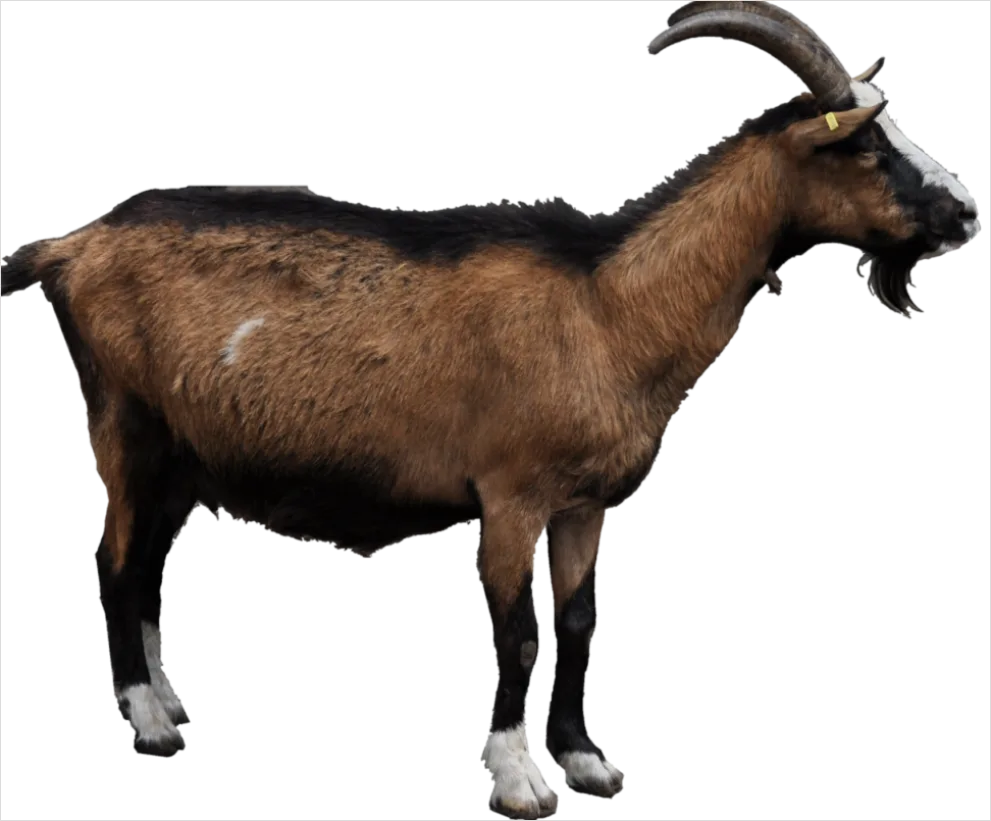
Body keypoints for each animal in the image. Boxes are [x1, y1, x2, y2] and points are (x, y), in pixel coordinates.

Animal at [0, 3, 980, 816]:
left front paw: (588, 763)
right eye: (863, 147)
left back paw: (169, 704)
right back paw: (149, 725)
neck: (606, 306)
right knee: (113, 563)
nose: (966, 212)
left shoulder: (587, 502)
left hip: (186, 454)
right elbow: (515, 629)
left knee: (148, 567)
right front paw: (519, 780)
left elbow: (577, 621)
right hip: (126, 426)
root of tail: (71, 247)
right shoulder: (510, 494)